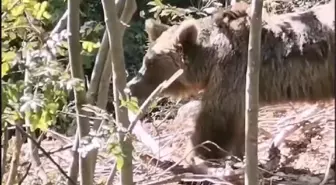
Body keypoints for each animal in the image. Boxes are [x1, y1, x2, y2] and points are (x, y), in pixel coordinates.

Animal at [127, 1, 334, 165]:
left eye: (150, 62)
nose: (130, 86)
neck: (211, 58)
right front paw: (240, 157)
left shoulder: (232, 72)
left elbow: (216, 120)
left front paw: (195, 155)